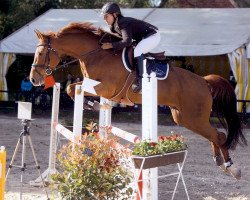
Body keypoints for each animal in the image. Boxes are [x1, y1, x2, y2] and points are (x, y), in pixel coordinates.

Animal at [29, 22, 246, 180]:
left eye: (41, 53)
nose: (33, 79)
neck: (95, 54)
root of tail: (204, 81)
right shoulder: (93, 84)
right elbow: (71, 88)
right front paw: (95, 105)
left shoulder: (105, 87)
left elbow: (73, 88)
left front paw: (94, 104)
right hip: (183, 118)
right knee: (214, 135)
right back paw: (220, 161)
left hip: (194, 117)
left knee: (218, 135)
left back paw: (232, 168)